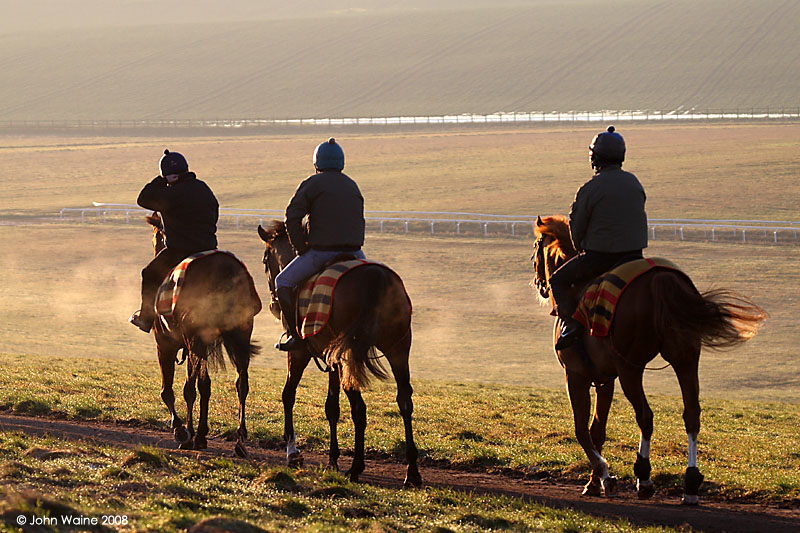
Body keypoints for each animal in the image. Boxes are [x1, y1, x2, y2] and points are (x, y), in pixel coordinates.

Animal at [141, 214, 260, 456]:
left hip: (195, 340)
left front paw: (183, 431)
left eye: (156, 235)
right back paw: (240, 440)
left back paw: (194, 436)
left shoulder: (165, 345)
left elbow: (171, 390)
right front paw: (197, 432)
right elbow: (201, 386)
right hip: (239, 336)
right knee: (241, 383)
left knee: (194, 386)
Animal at [256, 220, 422, 486]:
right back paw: (412, 471)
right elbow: (331, 407)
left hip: (349, 357)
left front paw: (293, 452)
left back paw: (356, 467)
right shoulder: (331, 360)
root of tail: (376, 279)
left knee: (359, 408)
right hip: (398, 349)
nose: (273, 304)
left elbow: (288, 394)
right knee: (404, 401)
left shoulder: (301, 354)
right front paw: (332, 460)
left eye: (264, 260)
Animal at [528, 215, 764, 502]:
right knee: (692, 413)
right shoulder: (605, 379)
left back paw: (644, 477)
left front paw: (605, 477)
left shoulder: (576, 375)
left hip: (631, 368)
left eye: (536, 248)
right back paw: (691, 484)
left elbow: (582, 430)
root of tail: (661, 281)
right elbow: (598, 430)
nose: (539, 284)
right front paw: (594, 482)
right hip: (686, 360)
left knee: (645, 415)